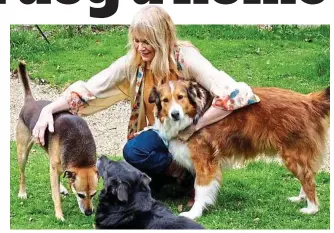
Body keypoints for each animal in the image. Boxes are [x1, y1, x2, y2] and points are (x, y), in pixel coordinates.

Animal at [16, 61, 99, 220]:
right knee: (22, 174)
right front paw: (59, 215)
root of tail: (30, 101)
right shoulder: (56, 169)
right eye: (80, 195)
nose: (89, 213)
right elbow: (55, 197)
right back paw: (22, 192)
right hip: (23, 153)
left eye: (93, 194)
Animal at [149, 80, 328, 220]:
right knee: (306, 176)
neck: (192, 117)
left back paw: (311, 208)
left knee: (308, 179)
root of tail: (308, 100)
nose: (175, 114)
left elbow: (200, 189)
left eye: (181, 97)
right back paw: (301, 198)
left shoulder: (204, 163)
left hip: (293, 154)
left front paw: (194, 213)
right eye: (165, 100)